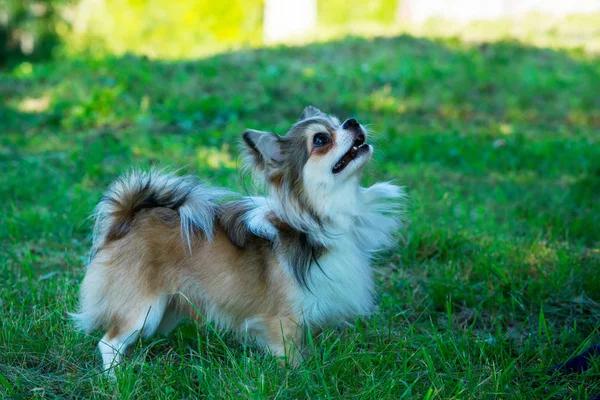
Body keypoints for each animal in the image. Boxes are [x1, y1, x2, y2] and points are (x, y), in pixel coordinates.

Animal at [72, 106, 406, 372]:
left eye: (339, 122)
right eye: (321, 140)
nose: (352, 121)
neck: (324, 217)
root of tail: (126, 219)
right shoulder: (285, 322)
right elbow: (292, 359)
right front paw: (301, 379)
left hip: (166, 308)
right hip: (142, 309)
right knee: (109, 343)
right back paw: (116, 380)